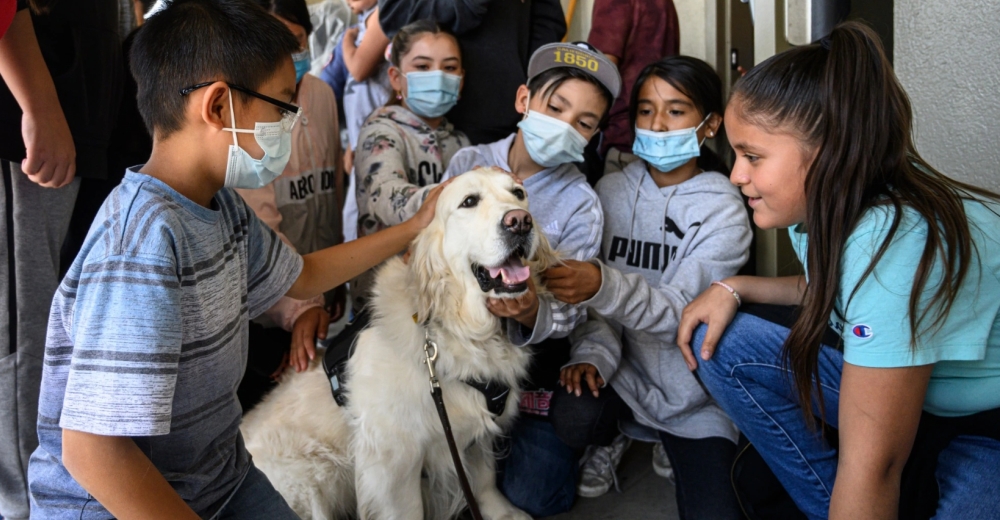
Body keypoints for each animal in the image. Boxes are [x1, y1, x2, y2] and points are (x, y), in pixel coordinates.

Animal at [239, 169, 560, 516]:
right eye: (469, 201)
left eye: (518, 194)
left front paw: (502, 512)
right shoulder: (393, 461)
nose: (520, 222)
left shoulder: (476, 431)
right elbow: (407, 509)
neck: (459, 331)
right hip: (312, 476)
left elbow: (484, 477)